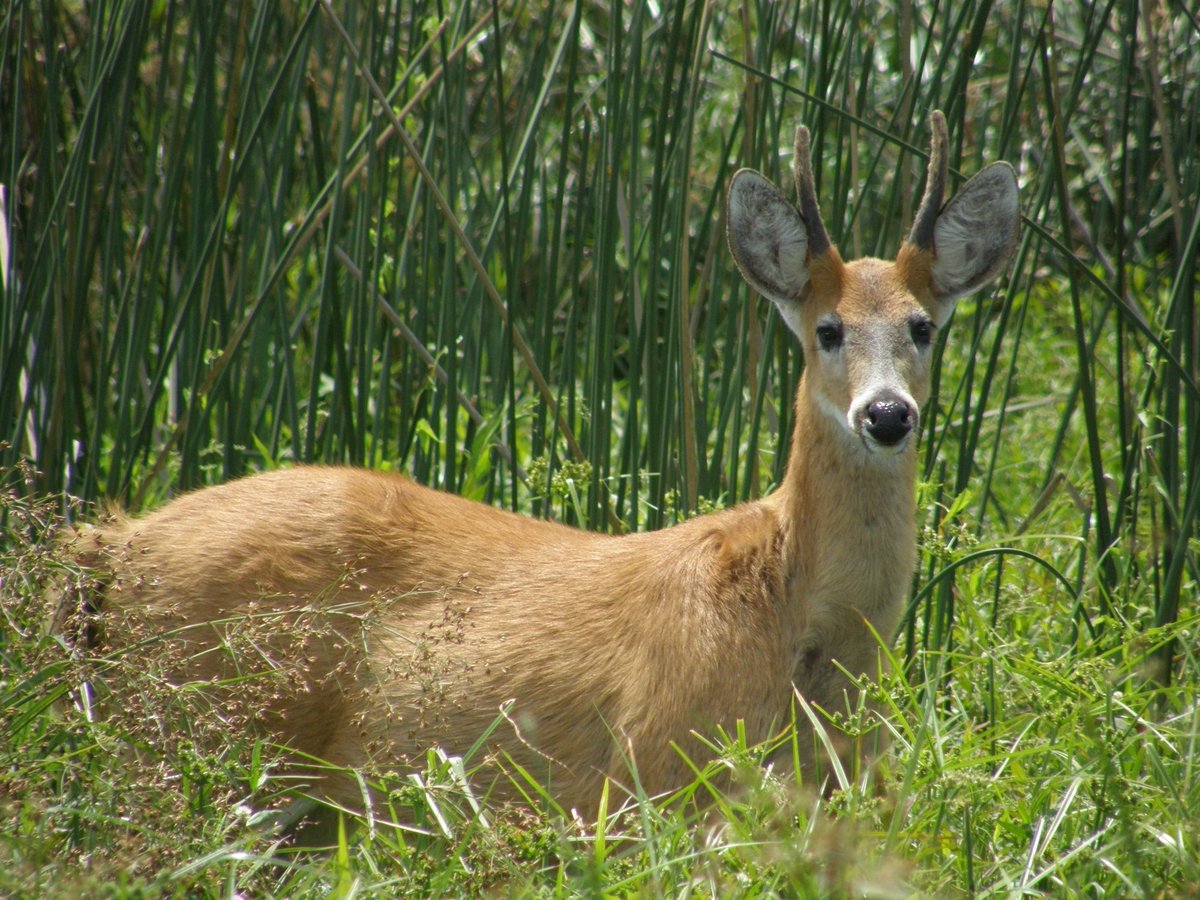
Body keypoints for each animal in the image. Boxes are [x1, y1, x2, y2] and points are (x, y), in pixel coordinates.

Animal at [68, 111, 1022, 825]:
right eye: (827, 329)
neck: (803, 629)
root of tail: (112, 544)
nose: (887, 415)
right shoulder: (659, 772)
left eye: (923, 325)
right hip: (205, 738)